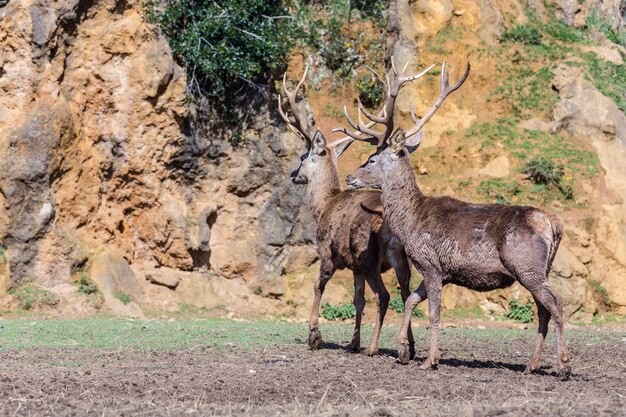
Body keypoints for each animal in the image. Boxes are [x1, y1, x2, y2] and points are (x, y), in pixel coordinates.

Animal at [276, 66, 428, 354]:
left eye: (303, 157)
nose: (293, 175)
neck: (324, 205)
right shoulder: (355, 267)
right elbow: (358, 300)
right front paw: (353, 342)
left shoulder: (326, 251)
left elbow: (318, 286)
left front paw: (314, 335)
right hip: (400, 257)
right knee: (405, 292)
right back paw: (408, 347)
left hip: (368, 255)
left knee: (384, 295)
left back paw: (375, 347)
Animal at [342, 60, 572, 378]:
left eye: (372, 159)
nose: (349, 176)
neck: (411, 222)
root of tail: (554, 224)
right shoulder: (441, 271)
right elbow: (411, 300)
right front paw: (402, 350)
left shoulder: (430, 262)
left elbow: (434, 313)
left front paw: (430, 359)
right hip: (539, 269)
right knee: (543, 310)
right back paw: (531, 365)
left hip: (527, 265)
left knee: (556, 304)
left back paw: (564, 365)